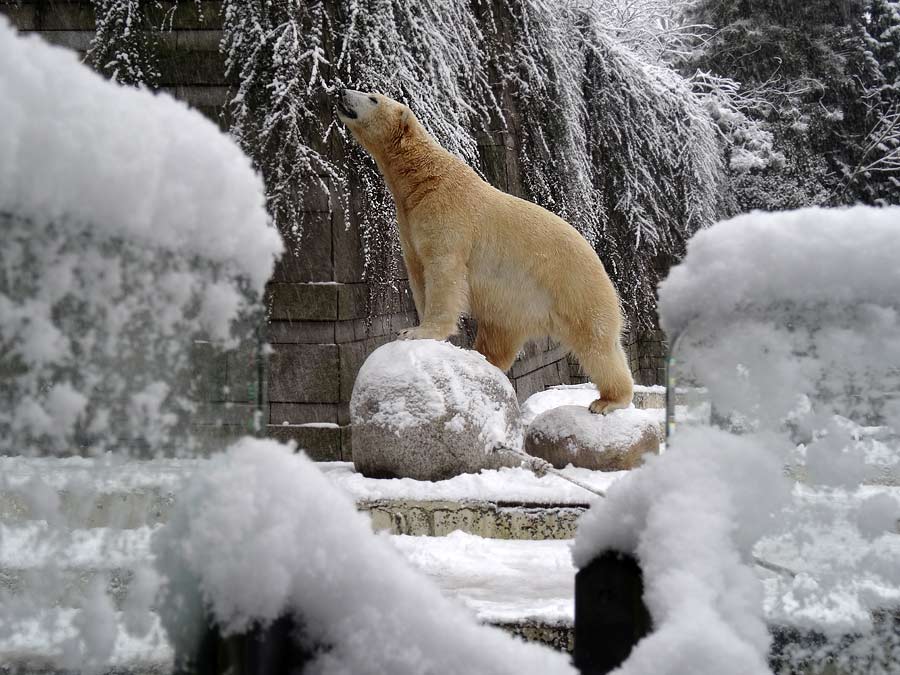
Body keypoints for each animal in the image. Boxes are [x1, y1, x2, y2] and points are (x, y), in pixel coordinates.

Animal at [338, 87, 632, 414]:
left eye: (373, 98)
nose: (342, 91)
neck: (424, 178)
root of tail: (597, 258)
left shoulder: (448, 216)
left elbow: (444, 272)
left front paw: (417, 332)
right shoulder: (410, 225)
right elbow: (418, 273)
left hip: (574, 286)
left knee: (597, 343)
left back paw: (607, 400)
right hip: (514, 306)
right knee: (499, 337)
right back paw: (483, 359)